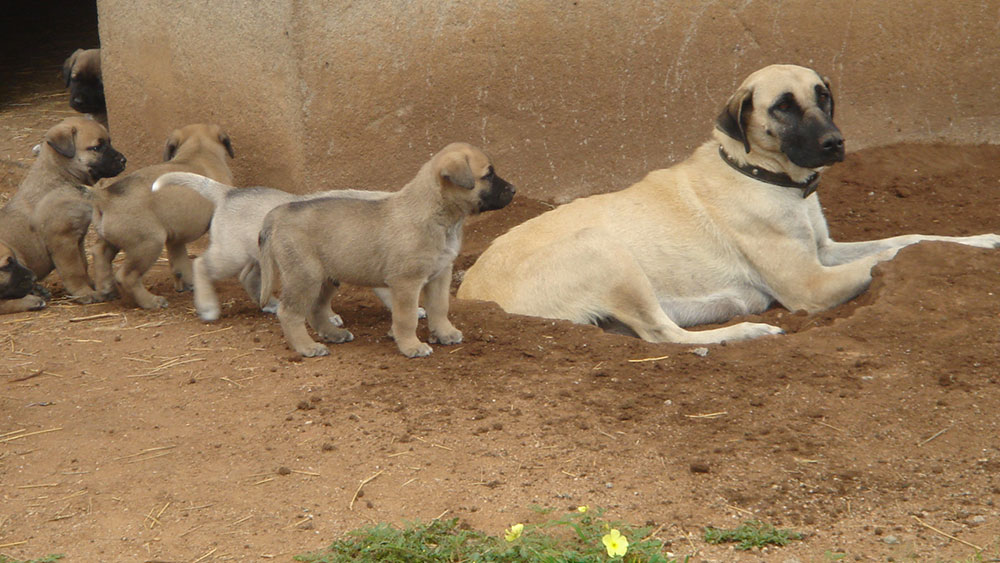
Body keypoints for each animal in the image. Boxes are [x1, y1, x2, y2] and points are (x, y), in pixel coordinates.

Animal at [0, 117, 128, 308]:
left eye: (109, 142)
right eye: (96, 148)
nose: (123, 160)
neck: (61, 178)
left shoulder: (78, 238)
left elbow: (83, 265)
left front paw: (90, 285)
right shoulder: (63, 240)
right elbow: (74, 270)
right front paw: (84, 293)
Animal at [88, 123, 236, 310]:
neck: (198, 150)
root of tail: (106, 197)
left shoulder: (176, 236)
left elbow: (179, 263)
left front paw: (187, 284)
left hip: (112, 239)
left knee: (100, 253)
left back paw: (106, 290)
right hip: (149, 243)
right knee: (126, 276)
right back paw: (151, 301)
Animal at [258, 143, 516, 360]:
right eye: (488, 175)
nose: (514, 189)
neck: (437, 213)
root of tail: (278, 213)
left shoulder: (441, 275)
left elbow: (440, 307)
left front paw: (445, 332)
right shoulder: (406, 283)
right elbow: (407, 318)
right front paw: (411, 346)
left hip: (327, 277)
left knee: (316, 309)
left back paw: (333, 334)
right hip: (305, 276)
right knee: (290, 313)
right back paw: (306, 347)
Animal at [458, 61, 1000, 344]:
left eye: (823, 96)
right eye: (782, 107)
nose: (835, 144)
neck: (768, 177)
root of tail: (468, 294)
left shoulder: (823, 251)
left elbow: (909, 235)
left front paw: (981, 240)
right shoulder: (811, 284)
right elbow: (890, 252)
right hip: (602, 249)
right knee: (665, 336)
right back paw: (747, 331)